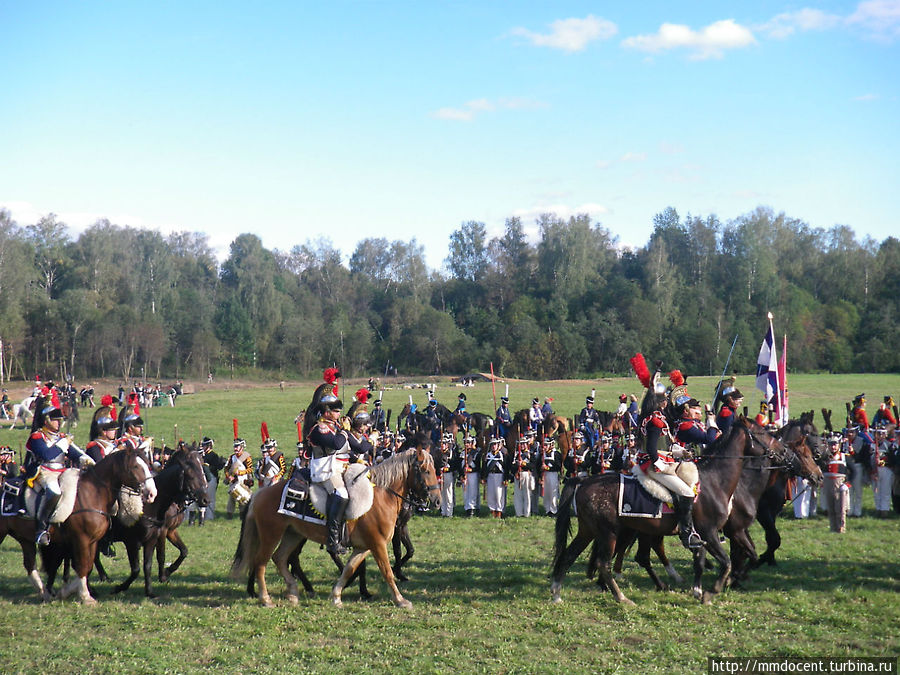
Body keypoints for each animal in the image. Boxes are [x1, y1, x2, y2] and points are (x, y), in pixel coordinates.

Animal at [39, 452, 158, 604]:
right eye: (135, 466)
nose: (152, 493)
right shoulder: (86, 540)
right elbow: (83, 565)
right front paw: (88, 595)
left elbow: (87, 566)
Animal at [92, 448, 210, 596]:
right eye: (190, 471)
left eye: (202, 467)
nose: (206, 499)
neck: (149, 505)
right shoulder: (136, 541)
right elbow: (157, 557)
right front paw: (162, 576)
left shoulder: (165, 532)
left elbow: (182, 551)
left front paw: (160, 579)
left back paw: (103, 577)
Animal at [232, 436, 442, 608]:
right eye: (425, 470)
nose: (437, 500)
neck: (382, 497)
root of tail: (260, 494)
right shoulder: (378, 545)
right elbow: (387, 571)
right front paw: (400, 599)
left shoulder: (363, 547)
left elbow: (349, 569)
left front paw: (336, 596)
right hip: (271, 535)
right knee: (260, 562)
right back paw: (265, 598)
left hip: (293, 534)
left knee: (280, 558)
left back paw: (292, 592)